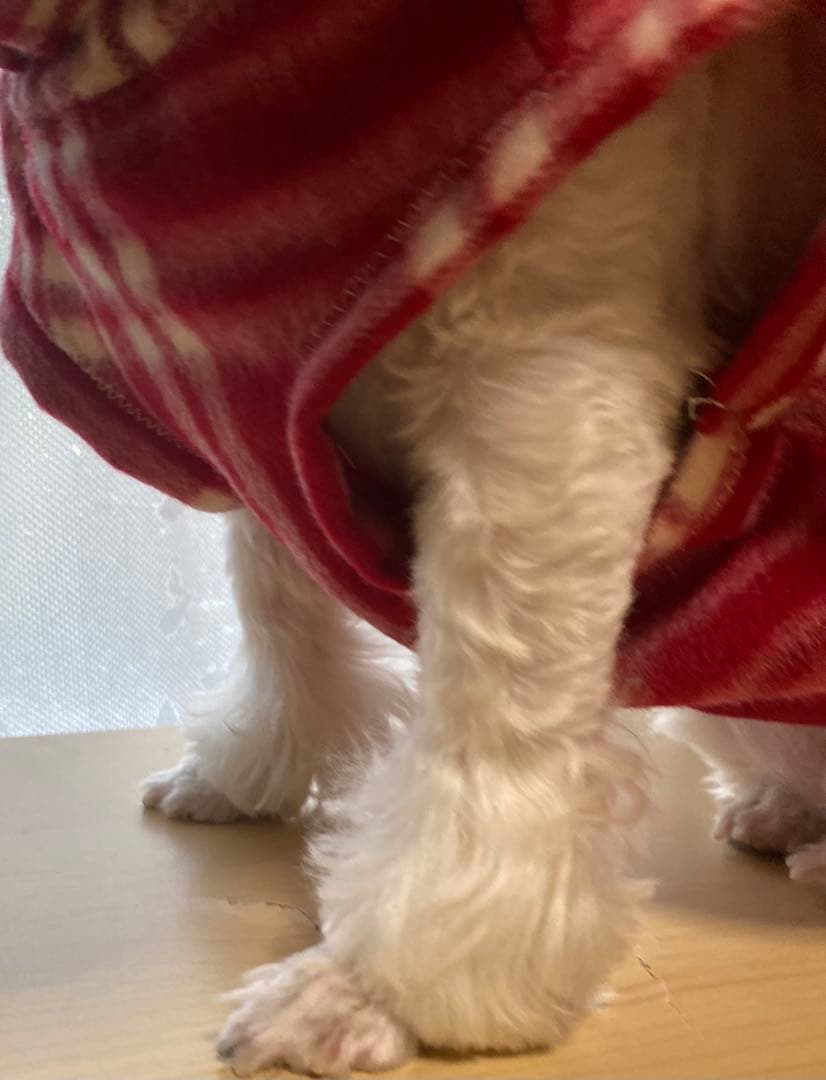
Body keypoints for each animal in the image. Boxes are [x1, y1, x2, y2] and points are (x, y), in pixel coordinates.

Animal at [3, 1, 825, 1075]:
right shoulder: (266, 403)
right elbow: (273, 594)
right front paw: (256, 762)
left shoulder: (549, 367)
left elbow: (496, 707)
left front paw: (385, 983)